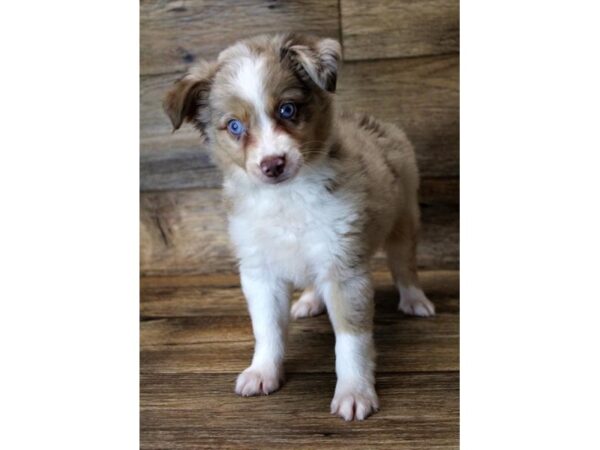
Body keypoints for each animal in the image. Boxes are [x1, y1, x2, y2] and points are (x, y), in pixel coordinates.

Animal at [164, 33, 436, 420]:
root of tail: (372, 120)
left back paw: (414, 300)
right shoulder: (259, 272)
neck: (286, 197)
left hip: (404, 219)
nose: (273, 164)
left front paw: (354, 392)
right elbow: (267, 330)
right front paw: (263, 371)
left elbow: (351, 340)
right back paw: (309, 300)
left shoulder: (344, 269)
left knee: (404, 265)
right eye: (234, 126)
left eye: (287, 110)